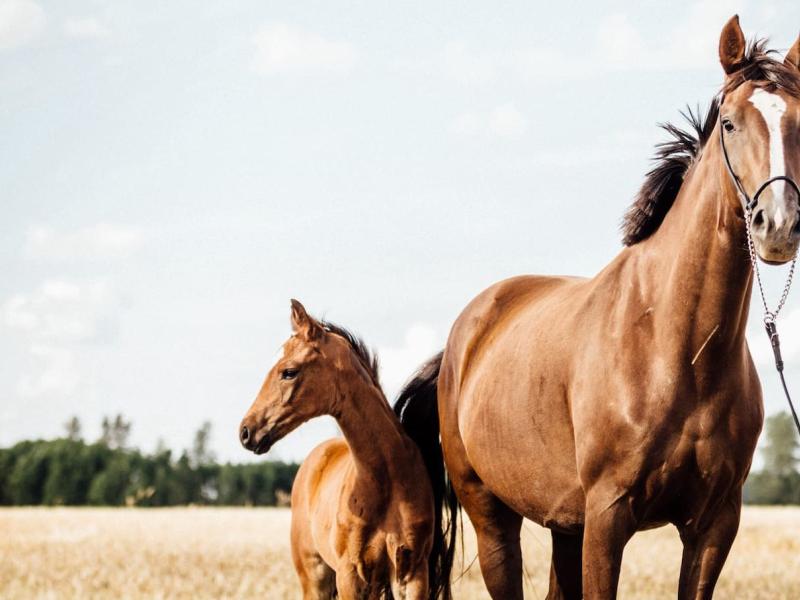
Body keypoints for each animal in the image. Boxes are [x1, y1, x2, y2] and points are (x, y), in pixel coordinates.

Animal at [238, 302, 454, 596]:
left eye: (289, 372)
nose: (246, 431)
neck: (385, 481)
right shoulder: (350, 575)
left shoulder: (411, 574)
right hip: (314, 577)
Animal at [396, 14, 800, 600]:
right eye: (729, 123)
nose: (779, 225)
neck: (675, 347)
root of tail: (458, 345)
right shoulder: (608, 518)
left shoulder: (714, 525)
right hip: (494, 517)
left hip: (565, 523)